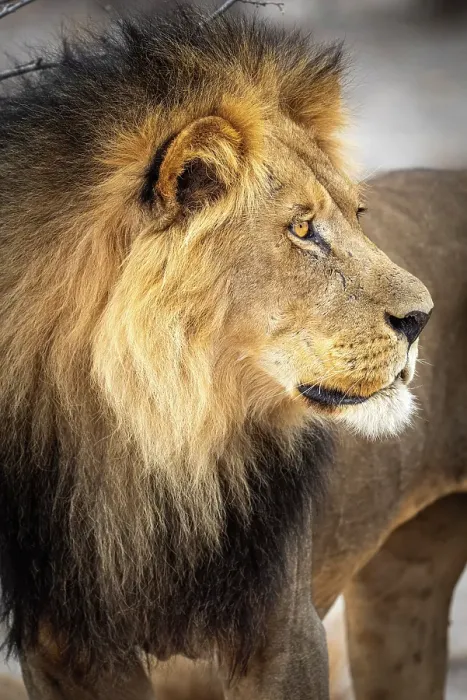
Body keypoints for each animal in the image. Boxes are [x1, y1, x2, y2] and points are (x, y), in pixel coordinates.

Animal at [0, 8, 432, 700]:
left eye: (358, 214)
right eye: (303, 228)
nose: (423, 317)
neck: (151, 445)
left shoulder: (283, 630)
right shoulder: (63, 650)